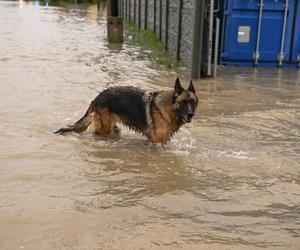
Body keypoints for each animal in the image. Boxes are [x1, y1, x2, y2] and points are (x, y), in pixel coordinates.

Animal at [55, 77, 198, 145]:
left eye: (193, 102)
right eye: (183, 102)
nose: (190, 115)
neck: (169, 107)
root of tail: (97, 97)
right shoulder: (159, 142)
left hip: (114, 128)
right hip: (104, 129)